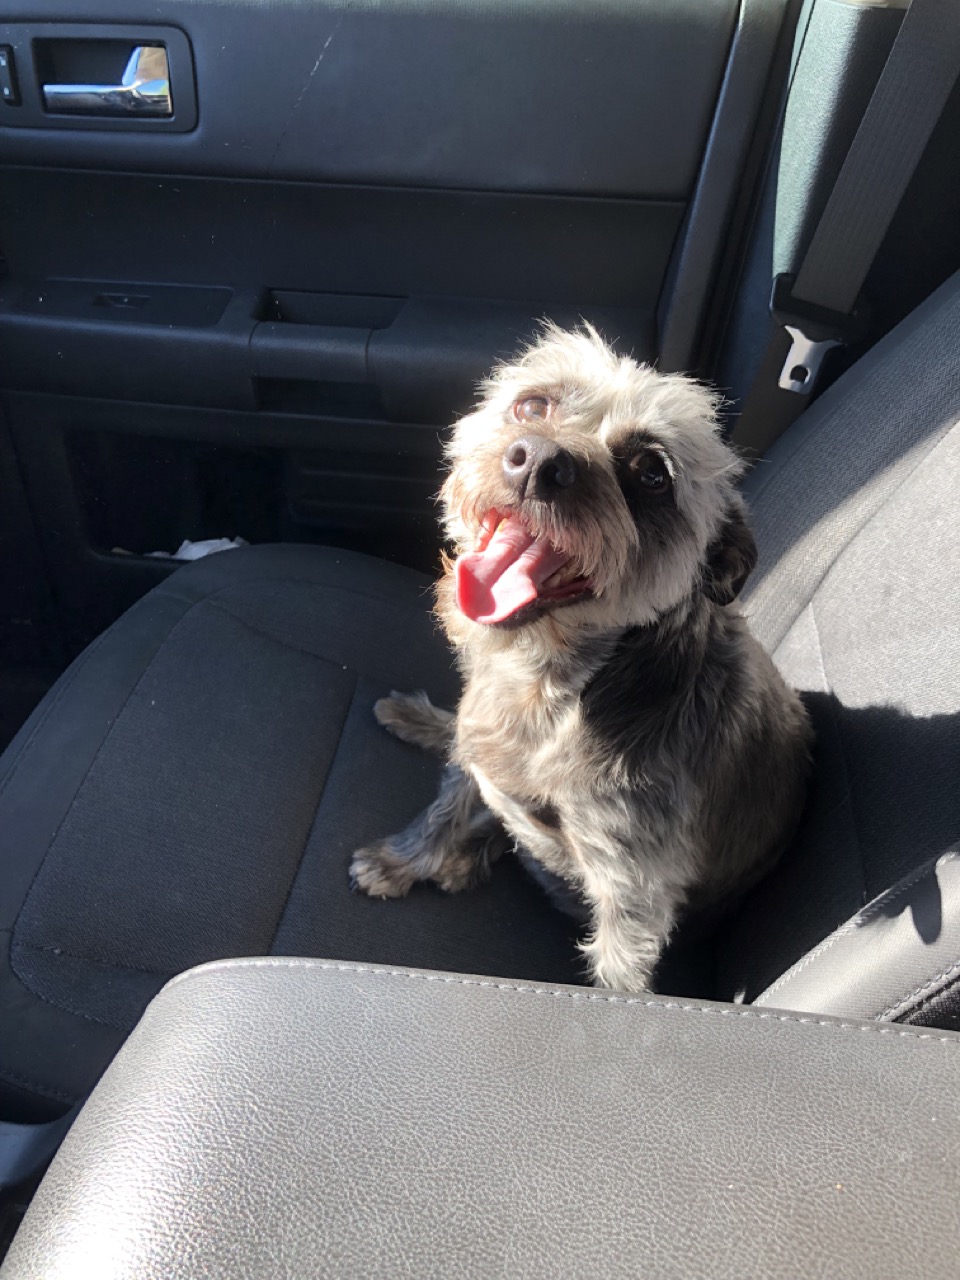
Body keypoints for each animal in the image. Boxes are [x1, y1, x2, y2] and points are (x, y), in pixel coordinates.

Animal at [350, 325, 812, 993]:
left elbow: (618, 973)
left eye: (652, 474)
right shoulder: (479, 743)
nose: (538, 460)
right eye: (532, 406)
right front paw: (405, 858)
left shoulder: (633, 887)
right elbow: (444, 807)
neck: (548, 683)